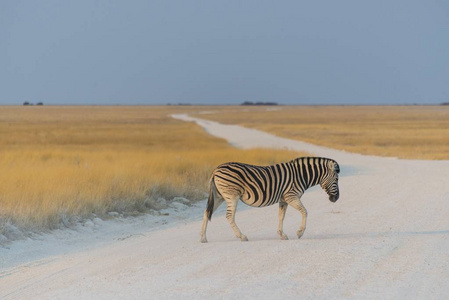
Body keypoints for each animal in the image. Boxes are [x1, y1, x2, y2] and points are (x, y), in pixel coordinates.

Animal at [198, 156, 338, 243]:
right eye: (336, 179)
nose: (336, 199)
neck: (301, 175)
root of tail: (216, 170)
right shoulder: (291, 196)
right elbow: (305, 212)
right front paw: (300, 233)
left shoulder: (283, 199)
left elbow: (281, 216)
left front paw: (282, 234)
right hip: (231, 196)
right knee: (229, 216)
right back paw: (242, 236)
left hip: (219, 196)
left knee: (206, 212)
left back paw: (203, 238)